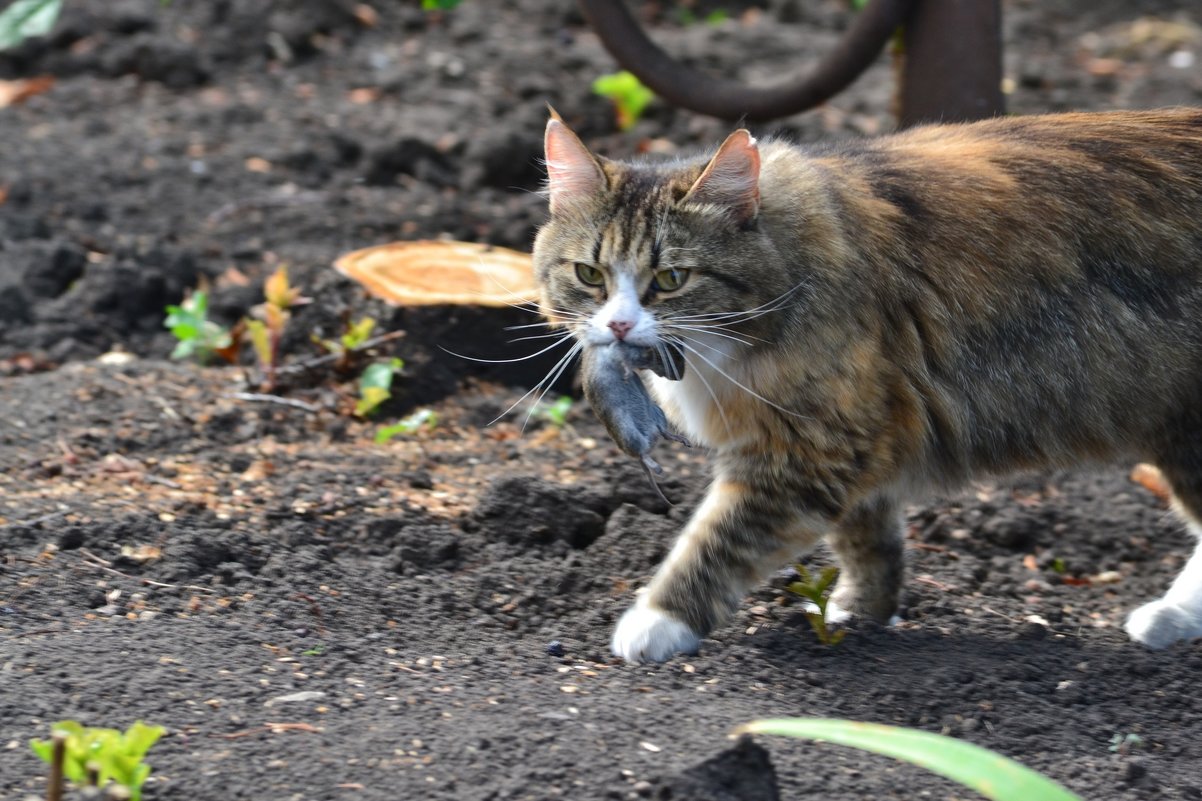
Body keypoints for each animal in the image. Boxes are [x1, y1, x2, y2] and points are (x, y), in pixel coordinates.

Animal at [533, 105, 1202, 659]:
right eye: (590, 274)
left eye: (671, 279)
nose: (619, 325)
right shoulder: (860, 437)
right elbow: (867, 539)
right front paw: (863, 611)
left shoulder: (808, 450)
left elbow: (718, 542)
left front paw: (657, 622)